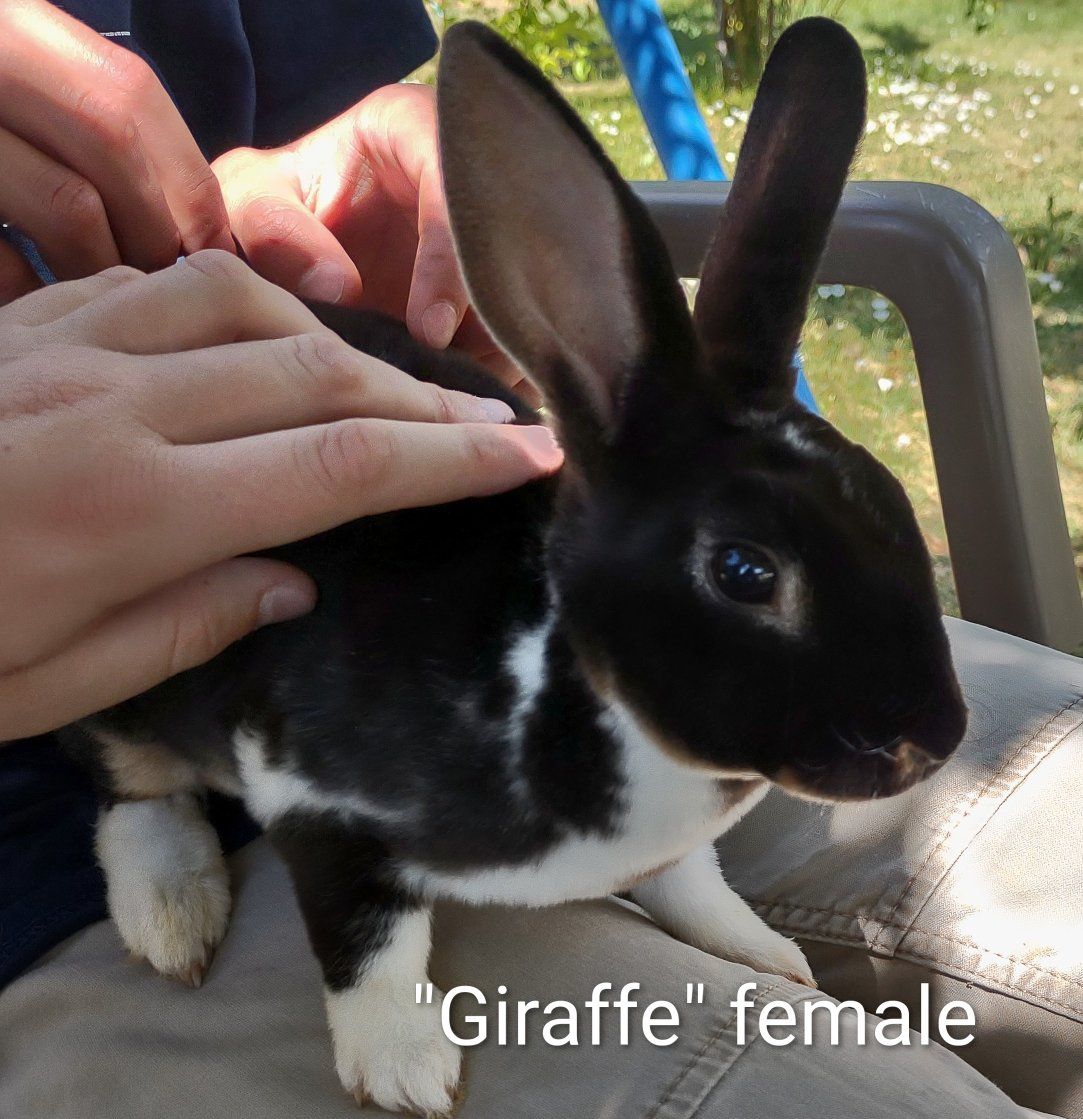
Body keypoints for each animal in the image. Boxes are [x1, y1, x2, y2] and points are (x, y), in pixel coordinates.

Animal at [58, 16, 967, 1118]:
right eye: (745, 571)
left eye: (895, 509)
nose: (936, 739)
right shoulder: (311, 797)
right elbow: (371, 941)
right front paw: (405, 1071)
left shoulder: (675, 846)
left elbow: (693, 878)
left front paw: (764, 954)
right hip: (138, 672)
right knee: (128, 784)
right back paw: (172, 916)